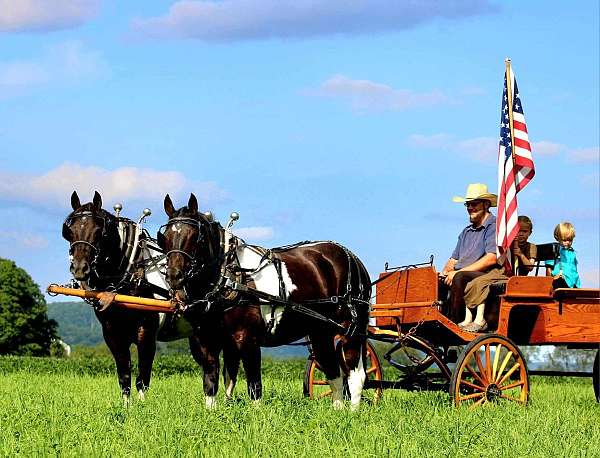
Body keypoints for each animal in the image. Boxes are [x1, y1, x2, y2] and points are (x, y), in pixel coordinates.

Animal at [61, 191, 192, 402]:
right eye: (69, 231)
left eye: (99, 231)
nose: (80, 268)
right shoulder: (112, 333)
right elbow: (124, 374)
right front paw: (126, 406)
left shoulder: (147, 332)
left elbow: (143, 375)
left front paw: (143, 406)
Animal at [159, 193, 372, 408]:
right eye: (165, 238)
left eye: (195, 237)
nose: (174, 276)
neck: (230, 277)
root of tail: (353, 258)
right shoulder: (206, 340)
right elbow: (210, 383)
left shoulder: (248, 340)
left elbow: (254, 387)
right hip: (321, 332)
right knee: (334, 372)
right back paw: (338, 411)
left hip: (350, 330)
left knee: (355, 375)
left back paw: (352, 412)